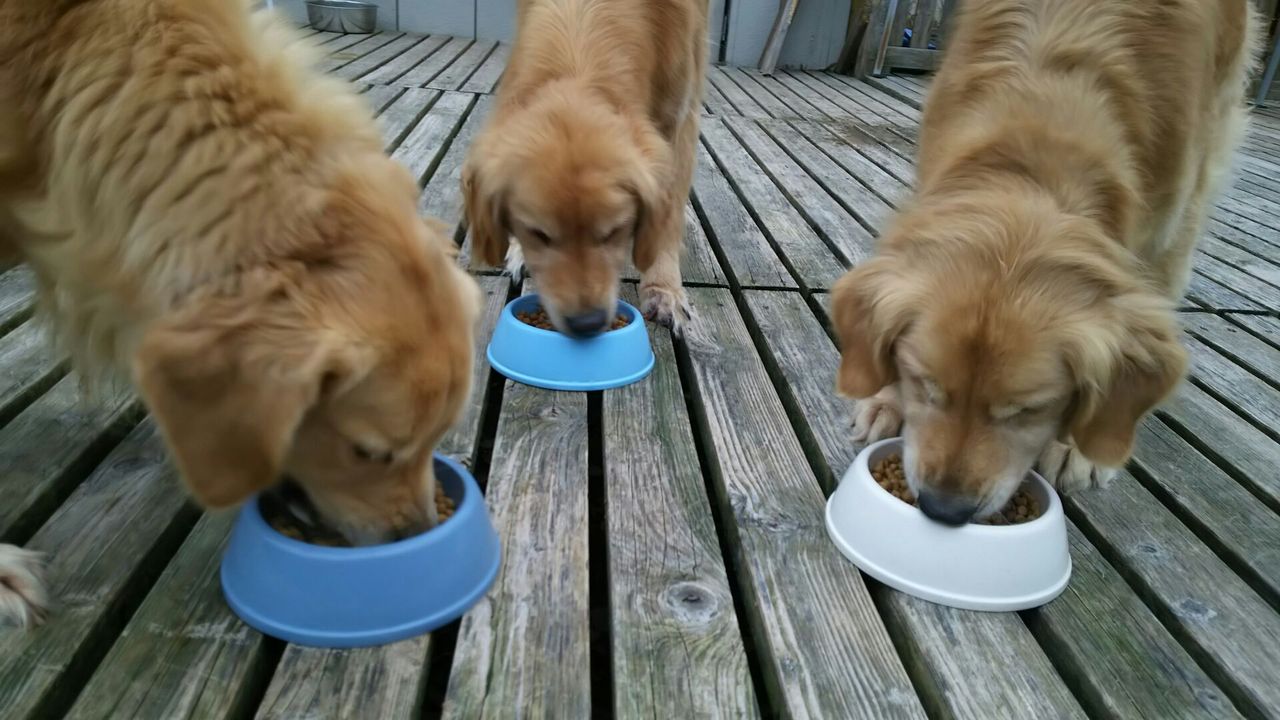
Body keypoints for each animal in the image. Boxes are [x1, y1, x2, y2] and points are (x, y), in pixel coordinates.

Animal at [462, 0, 707, 337]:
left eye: (615, 231)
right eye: (539, 234)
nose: (586, 323)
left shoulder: (680, 113)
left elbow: (669, 215)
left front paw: (663, 288)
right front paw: (521, 250)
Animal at [831, 0, 1257, 525]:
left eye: (1028, 410)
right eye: (926, 385)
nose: (943, 509)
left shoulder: (1171, 210)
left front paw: (1080, 446)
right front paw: (884, 397)